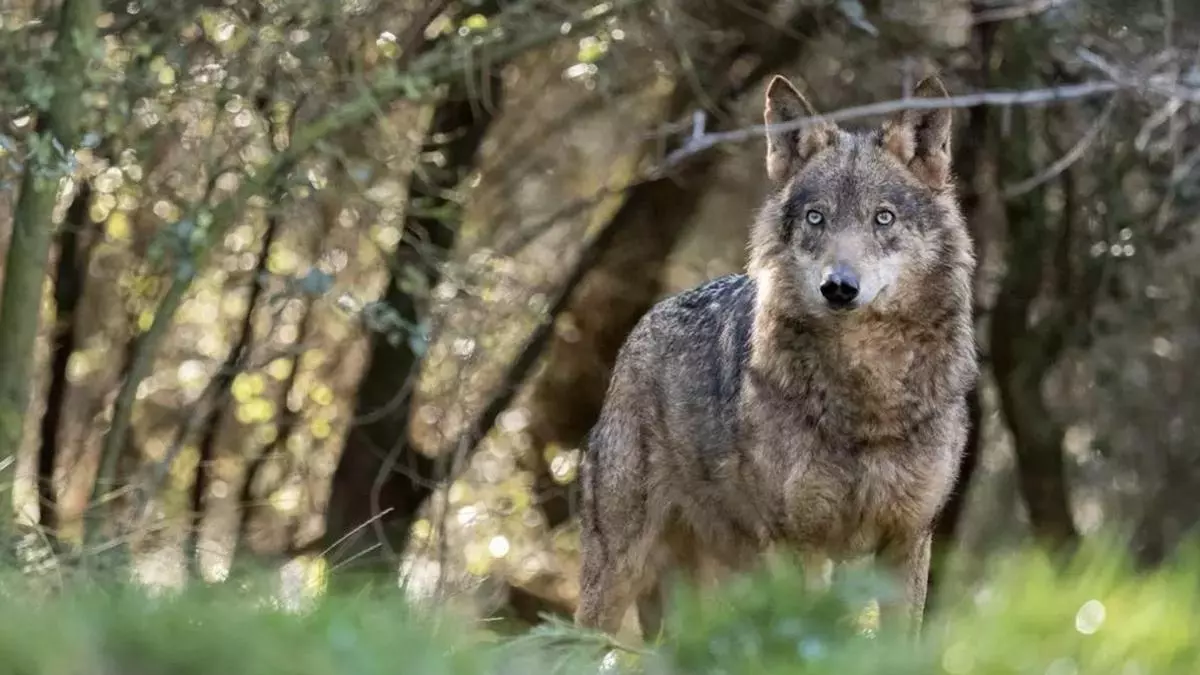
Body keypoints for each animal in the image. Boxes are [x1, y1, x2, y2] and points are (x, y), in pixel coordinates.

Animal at [574, 73, 977, 639]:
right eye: (816, 218)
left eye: (883, 218)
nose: (839, 287)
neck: (867, 399)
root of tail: (645, 323)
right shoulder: (799, 543)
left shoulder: (907, 541)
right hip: (619, 572)